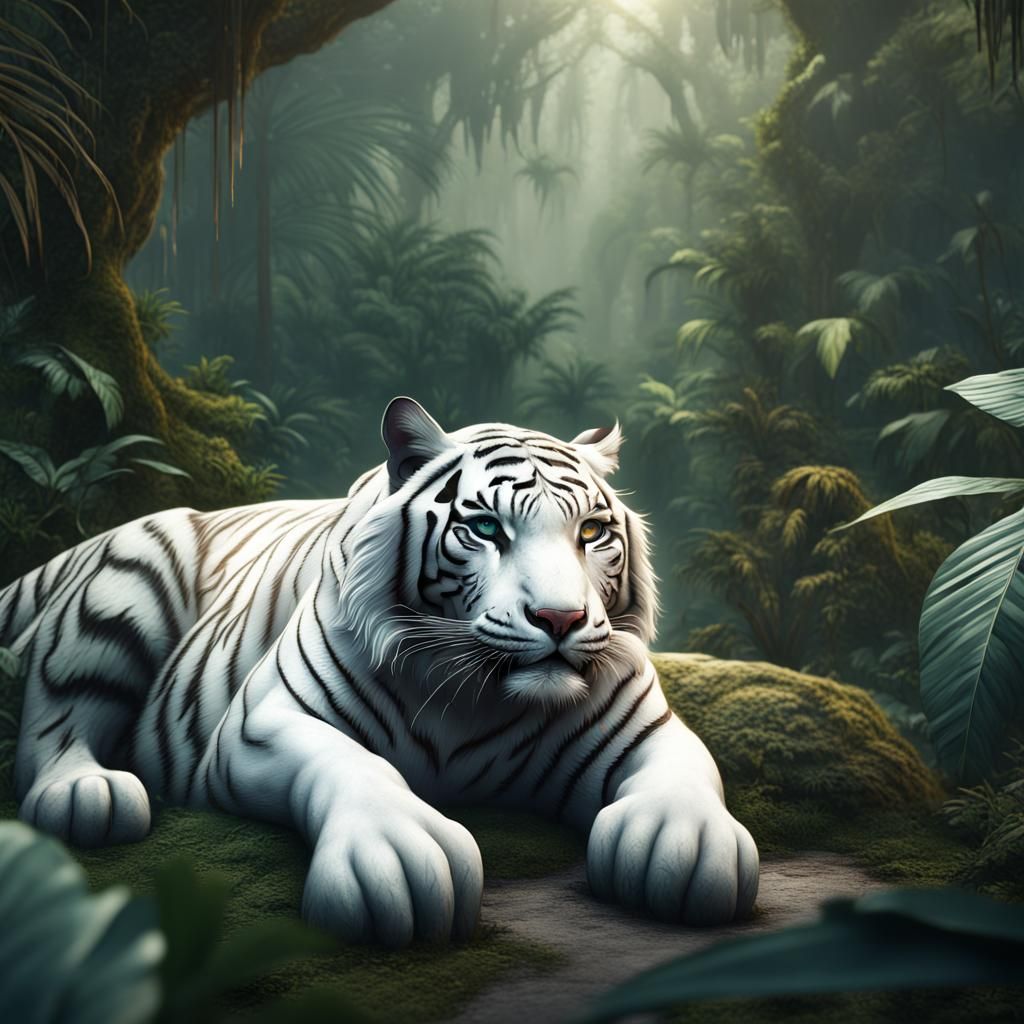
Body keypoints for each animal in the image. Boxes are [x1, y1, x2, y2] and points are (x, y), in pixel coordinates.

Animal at [2, 397, 758, 946]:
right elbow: (355, 765)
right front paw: (399, 852)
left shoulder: (643, 725)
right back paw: (87, 795)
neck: (479, 697)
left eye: (592, 533)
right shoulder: (263, 721)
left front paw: (681, 842)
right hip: (121, 592)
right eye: (487, 528)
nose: (561, 617)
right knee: (51, 725)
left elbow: (686, 770)